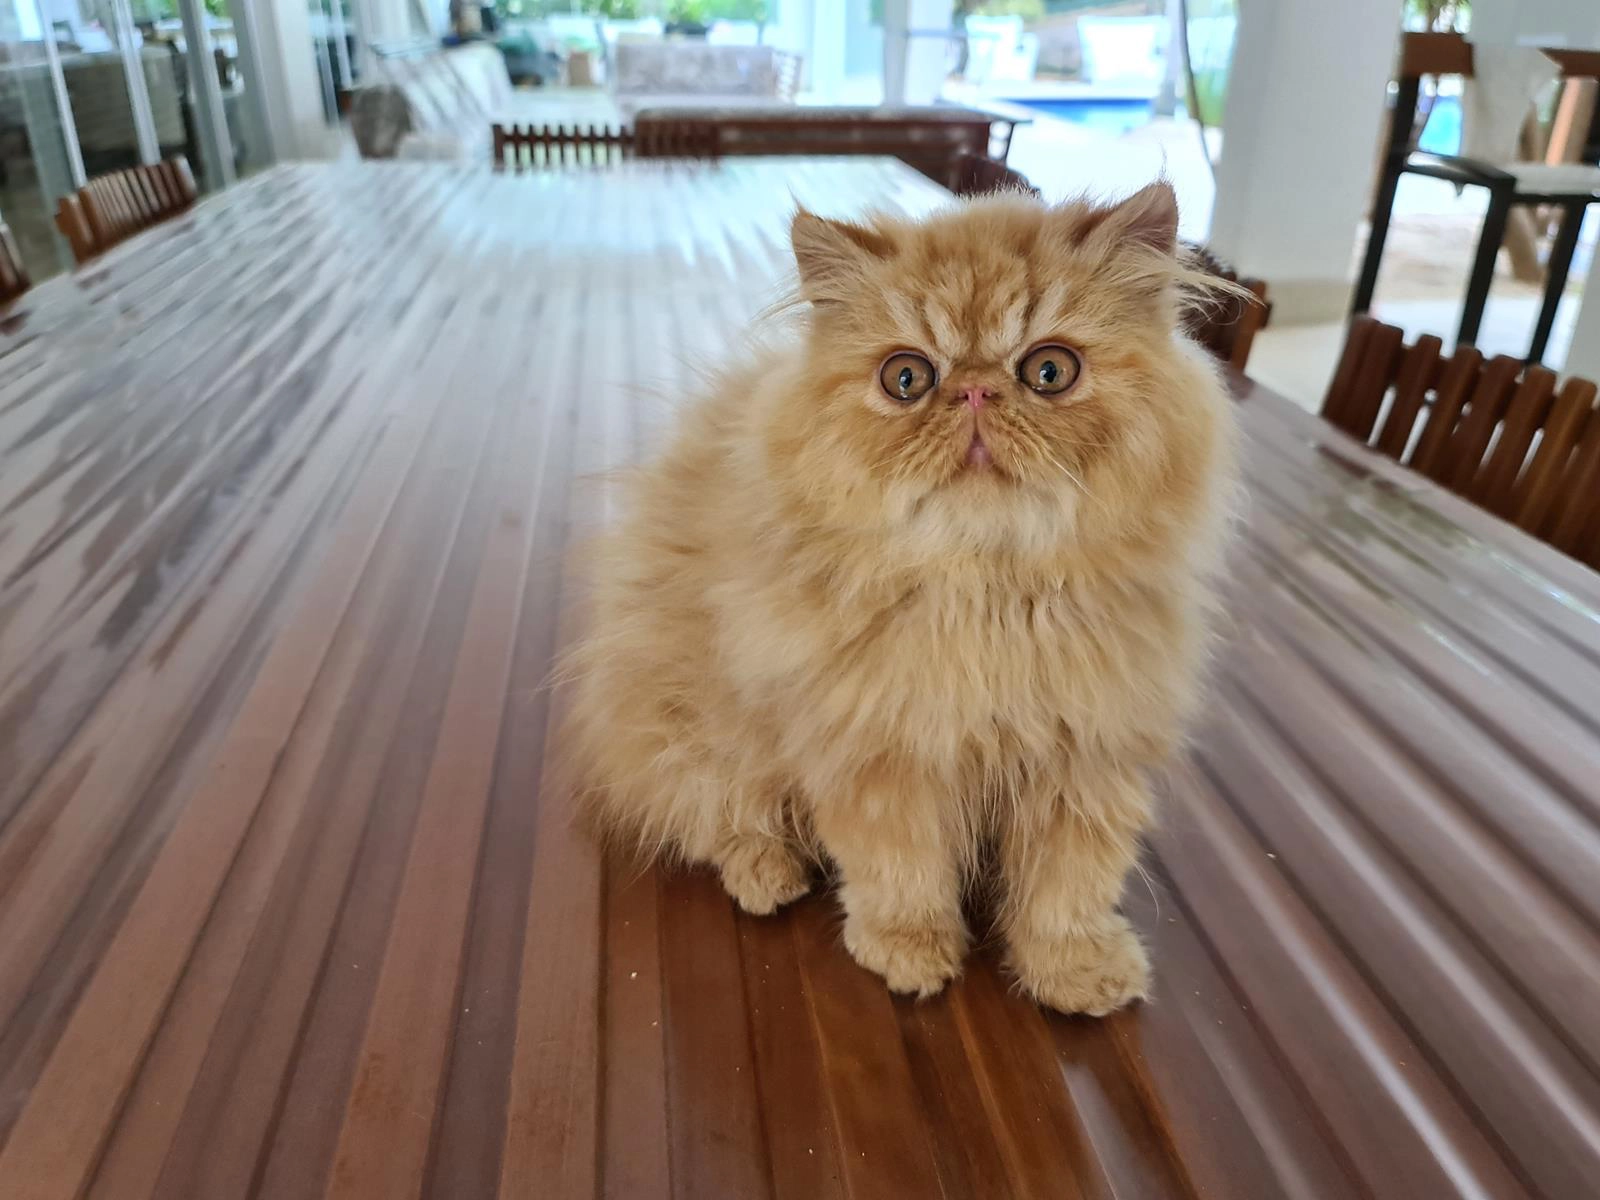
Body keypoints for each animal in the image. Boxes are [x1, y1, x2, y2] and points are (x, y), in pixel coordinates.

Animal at [565, 180, 1238, 1015]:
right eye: (907, 378)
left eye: (1050, 371)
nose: (975, 390)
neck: (986, 594)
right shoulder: (880, 754)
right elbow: (901, 870)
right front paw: (909, 951)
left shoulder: (1085, 757)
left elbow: (1069, 884)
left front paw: (1075, 969)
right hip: (696, 728)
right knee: (714, 811)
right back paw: (766, 872)